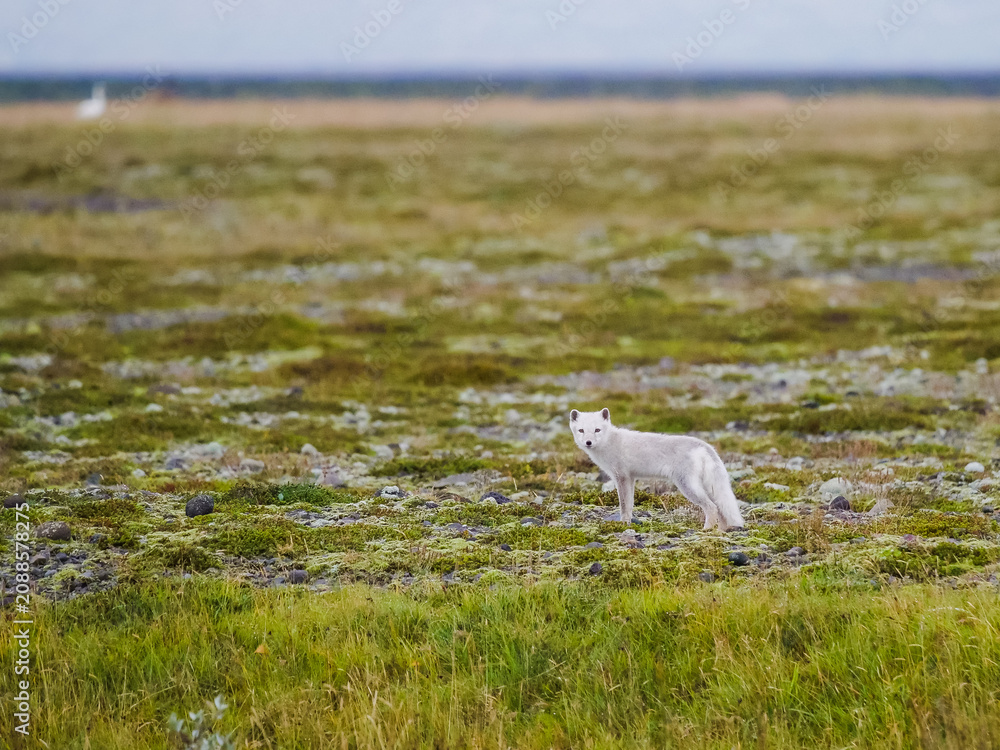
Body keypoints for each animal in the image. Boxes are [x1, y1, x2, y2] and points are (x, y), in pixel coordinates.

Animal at [570, 408, 744, 530]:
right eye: (581, 430)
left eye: (597, 430)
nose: (588, 442)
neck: (609, 442)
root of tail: (704, 446)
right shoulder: (630, 478)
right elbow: (630, 504)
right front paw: (628, 523)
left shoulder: (622, 477)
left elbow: (624, 505)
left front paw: (623, 525)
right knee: (720, 508)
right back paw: (721, 530)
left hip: (687, 485)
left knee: (712, 507)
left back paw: (706, 529)